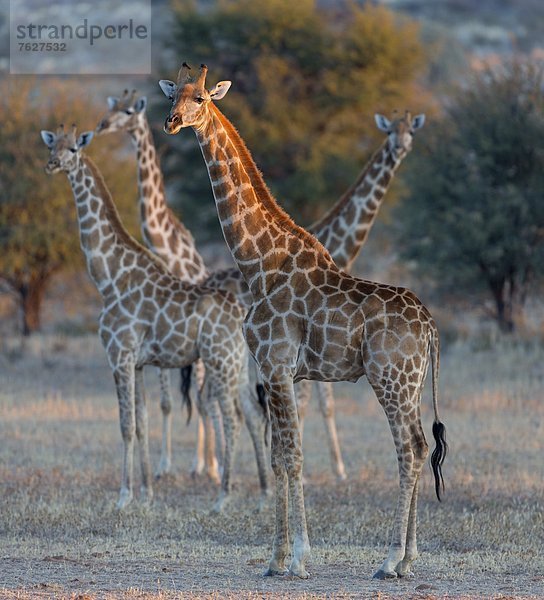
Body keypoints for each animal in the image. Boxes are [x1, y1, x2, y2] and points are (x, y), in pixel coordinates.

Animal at [41, 125, 249, 510]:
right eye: (52, 146)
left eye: (74, 148)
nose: (51, 165)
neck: (107, 277)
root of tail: (240, 312)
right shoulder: (136, 363)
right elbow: (141, 424)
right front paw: (147, 490)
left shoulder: (118, 355)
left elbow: (124, 425)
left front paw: (124, 496)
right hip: (234, 364)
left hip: (220, 362)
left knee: (231, 419)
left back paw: (223, 496)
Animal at [95, 90, 272, 506]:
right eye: (111, 109)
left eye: (128, 111)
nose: (103, 126)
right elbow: (169, 402)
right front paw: (169, 468)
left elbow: (198, 402)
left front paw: (206, 468)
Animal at [157, 63, 446, 580]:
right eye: (174, 95)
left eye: (201, 99)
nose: (171, 122)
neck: (257, 261)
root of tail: (430, 326)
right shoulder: (279, 372)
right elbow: (279, 456)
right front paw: (278, 558)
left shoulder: (276, 367)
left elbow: (291, 456)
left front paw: (294, 557)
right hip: (411, 385)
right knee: (418, 444)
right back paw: (409, 559)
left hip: (390, 380)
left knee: (408, 450)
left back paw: (390, 559)